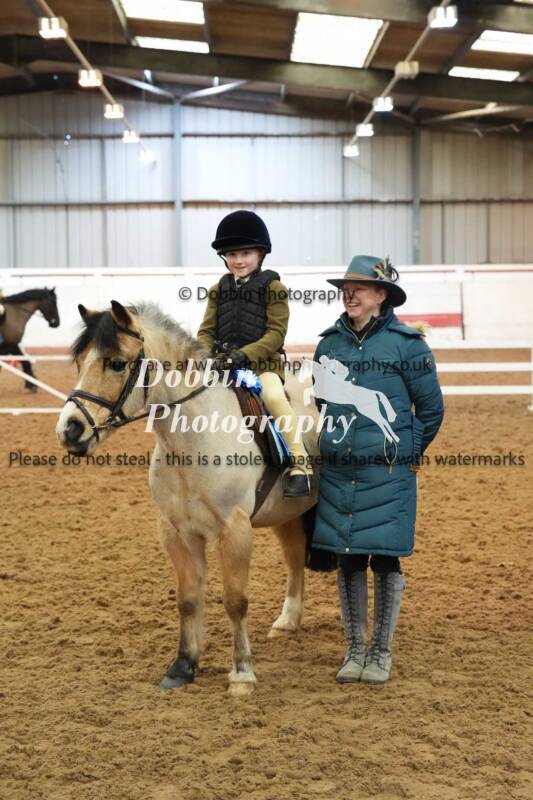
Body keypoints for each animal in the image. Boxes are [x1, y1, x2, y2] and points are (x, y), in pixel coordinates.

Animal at [56, 300, 319, 697]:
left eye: (116, 363)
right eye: (80, 362)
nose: (70, 430)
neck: (191, 441)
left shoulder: (235, 531)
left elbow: (235, 602)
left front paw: (242, 673)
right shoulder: (177, 532)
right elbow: (188, 599)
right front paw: (183, 666)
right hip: (287, 514)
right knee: (293, 557)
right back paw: (287, 621)